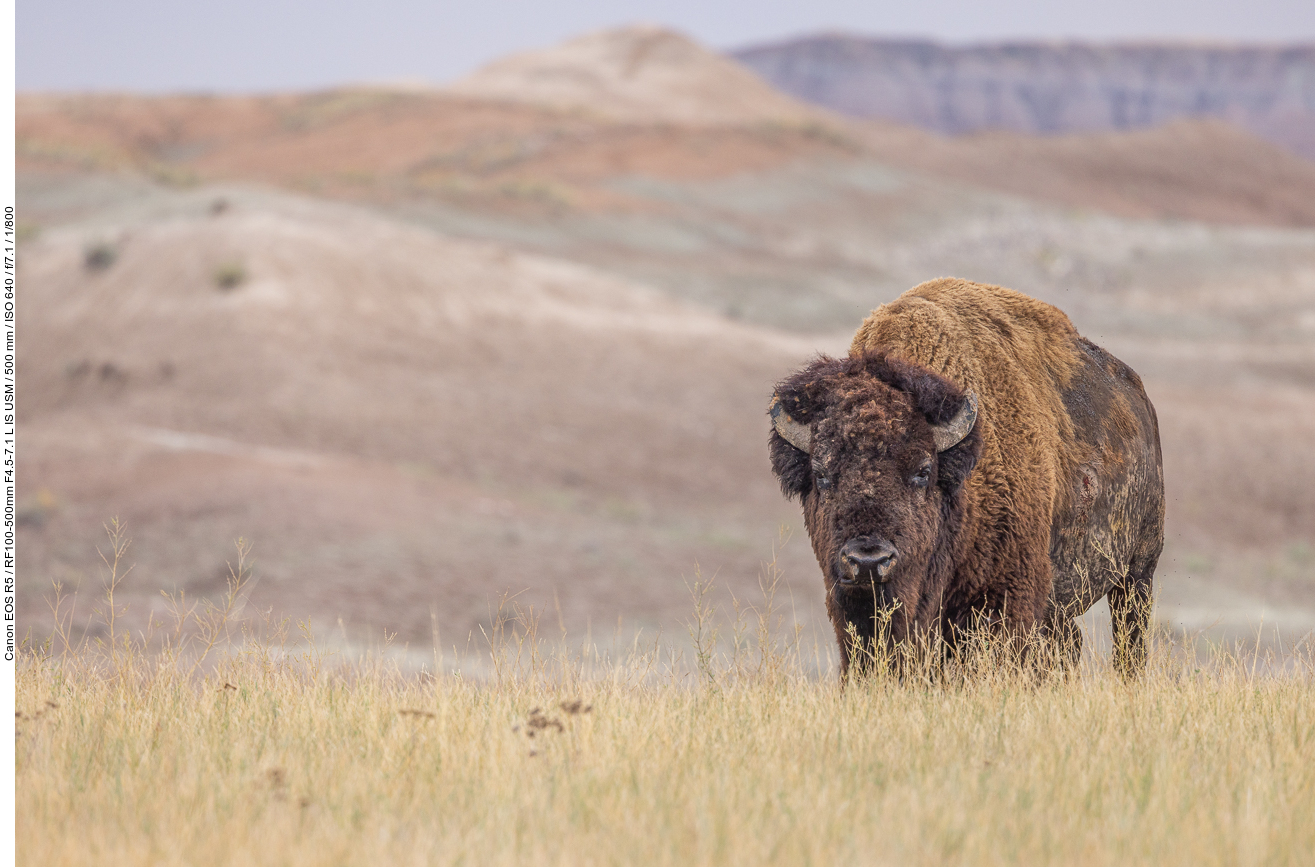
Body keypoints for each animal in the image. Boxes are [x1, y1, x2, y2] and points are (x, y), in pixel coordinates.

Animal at [767, 277, 1162, 678]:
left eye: (923, 471)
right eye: (821, 474)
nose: (868, 561)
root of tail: (1138, 397)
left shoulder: (1006, 598)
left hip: (1138, 573)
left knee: (1128, 638)